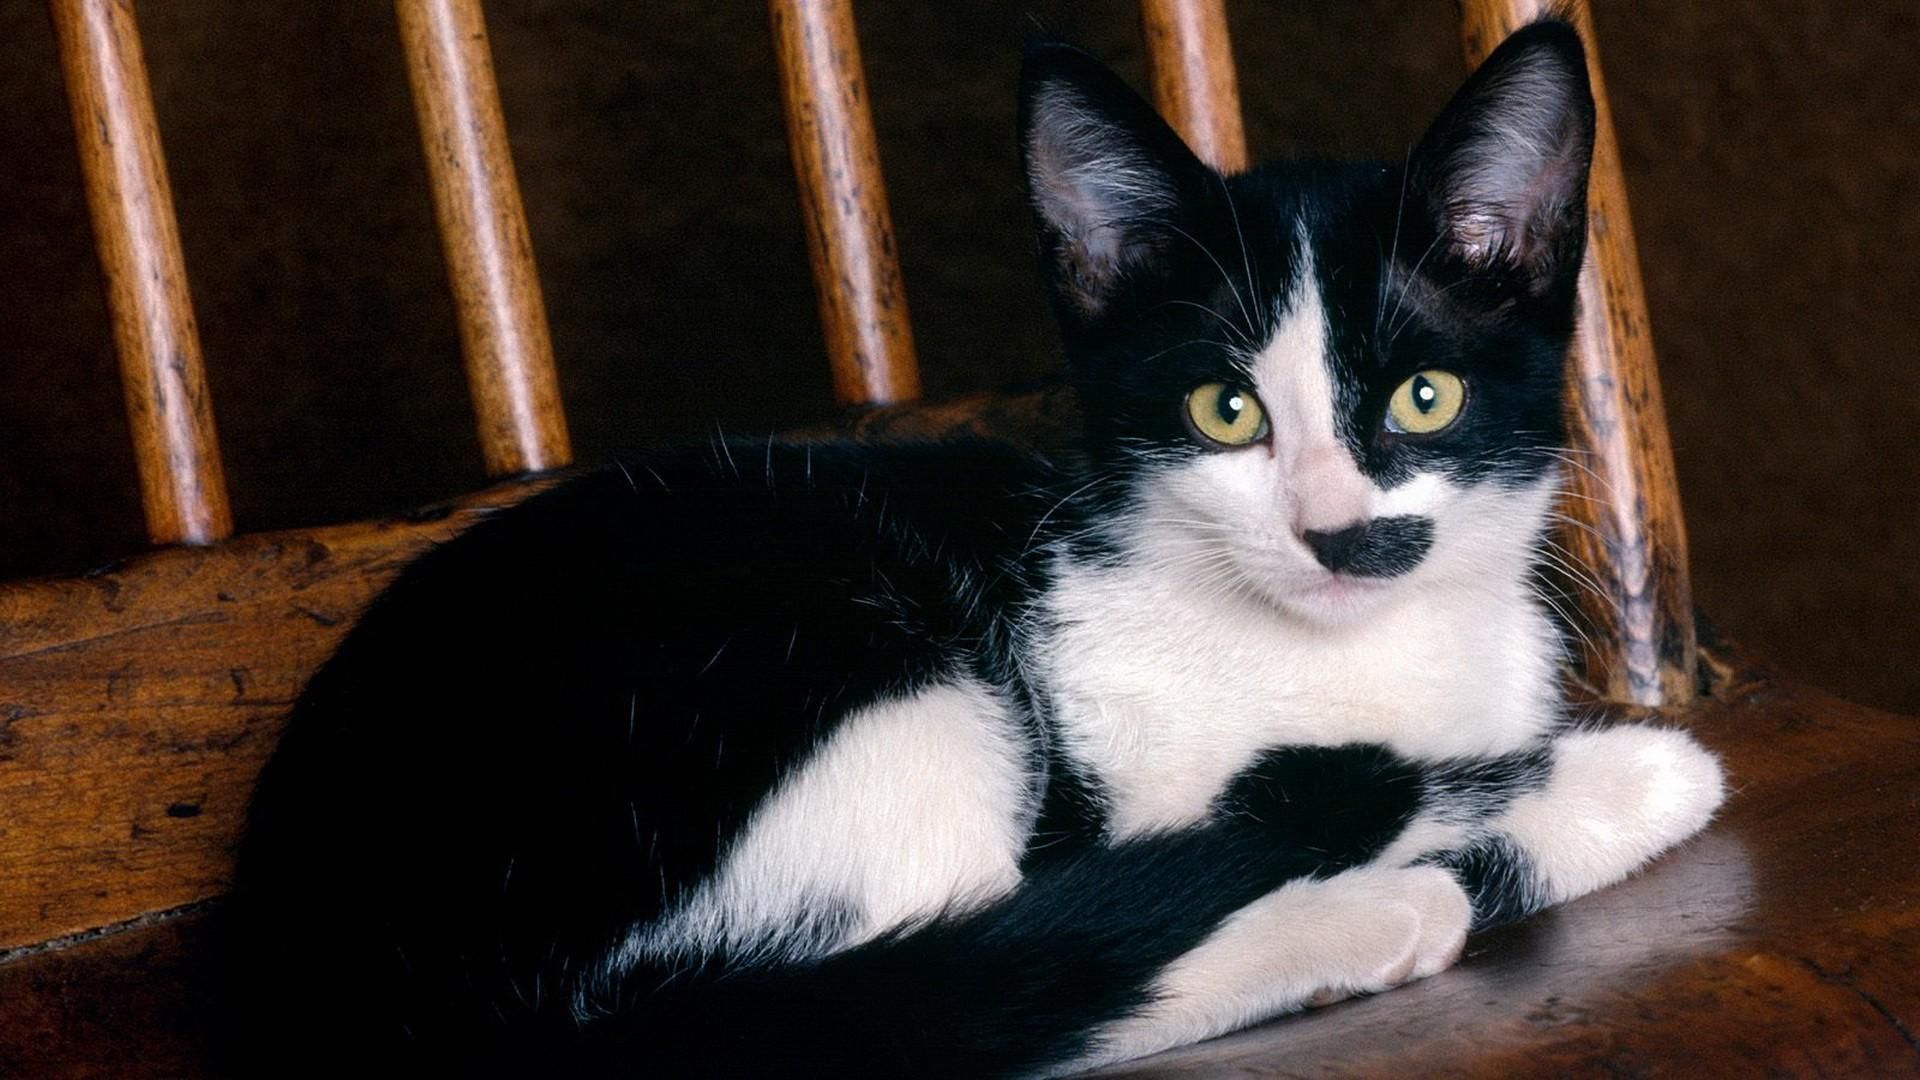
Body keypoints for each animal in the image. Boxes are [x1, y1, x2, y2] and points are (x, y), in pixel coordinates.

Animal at [224, 18, 1728, 1076]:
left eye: (1425, 395)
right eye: (1226, 409)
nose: (1339, 535)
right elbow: (1358, 796)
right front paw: (1636, 781)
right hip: (863, 683)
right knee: (929, 1003)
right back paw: (1369, 917)